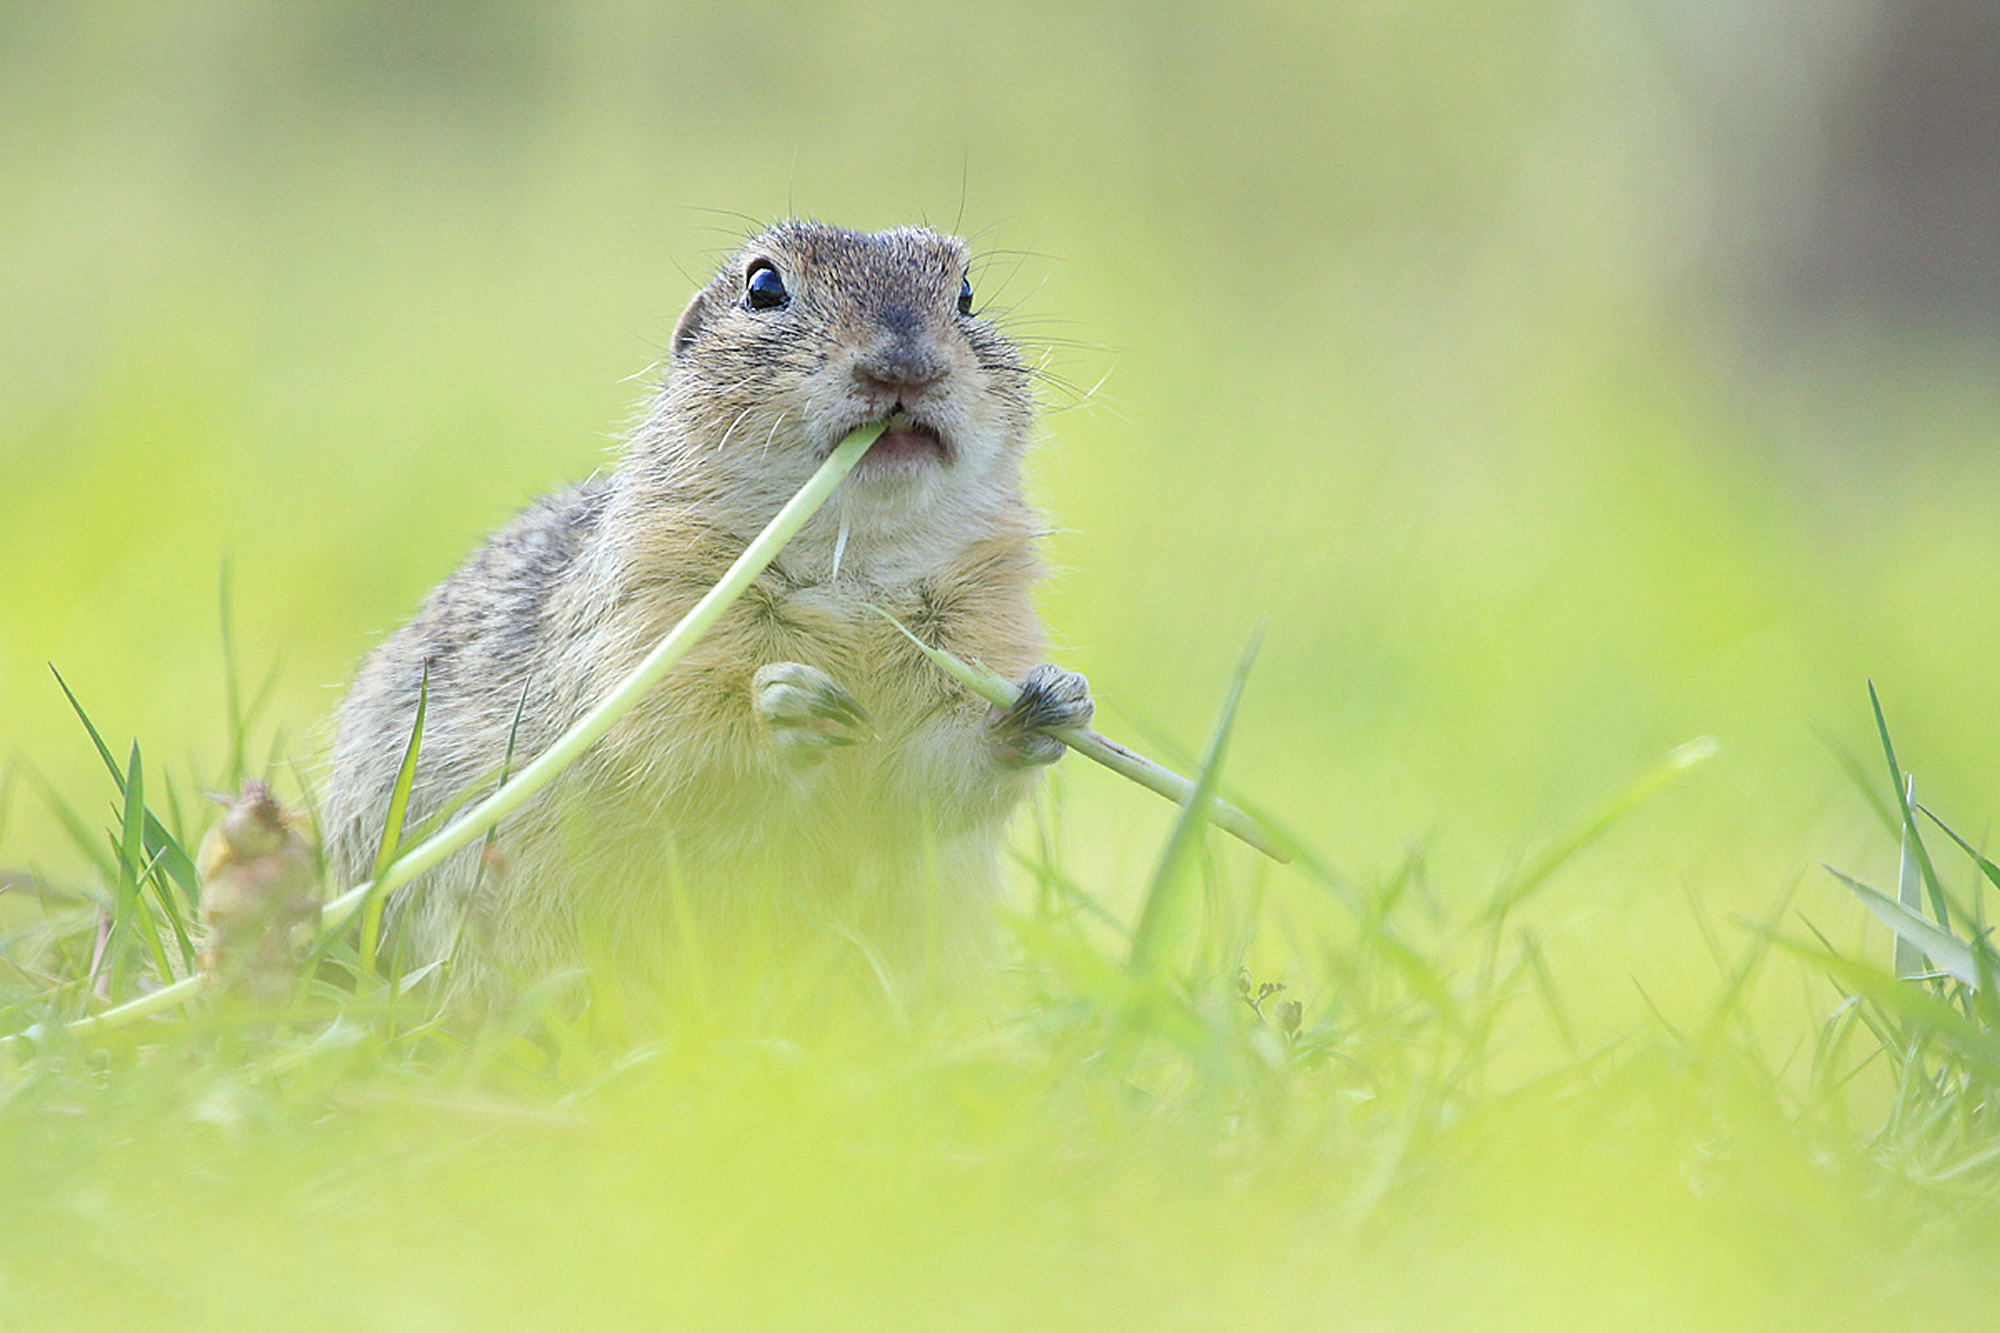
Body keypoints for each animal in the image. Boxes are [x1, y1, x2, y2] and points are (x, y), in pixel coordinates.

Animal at [320, 221, 1092, 1009]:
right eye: (763, 287)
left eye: (965, 295)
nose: (904, 366)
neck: (854, 562)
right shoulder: (647, 606)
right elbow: (669, 733)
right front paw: (787, 706)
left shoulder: (984, 609)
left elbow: (923, 782)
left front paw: (1047, 703)